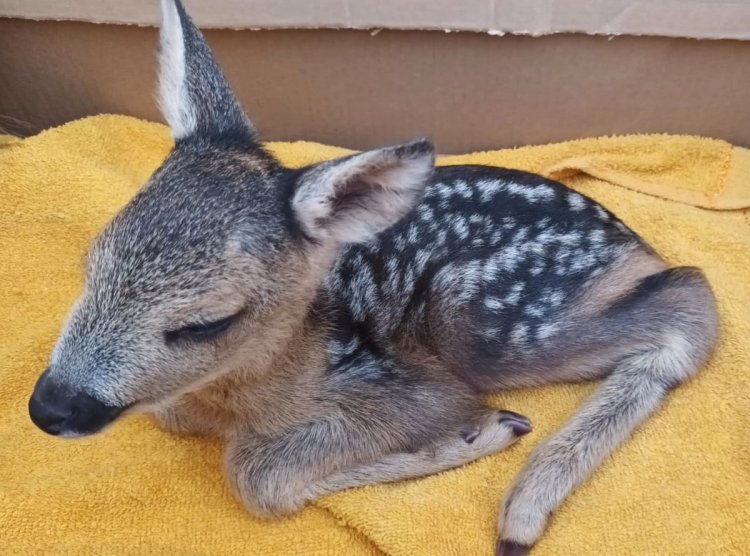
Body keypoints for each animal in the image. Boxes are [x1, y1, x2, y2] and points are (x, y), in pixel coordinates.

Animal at [29, 2, 724, 552]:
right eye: (91, 266)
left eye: (207, 322)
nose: (46, 408)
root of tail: (628, 238)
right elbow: (181, 420)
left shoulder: (416, 387)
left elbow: (258, 474)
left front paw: (476, 433)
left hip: (481, 320)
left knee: (690, 295)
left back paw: (525, 504)